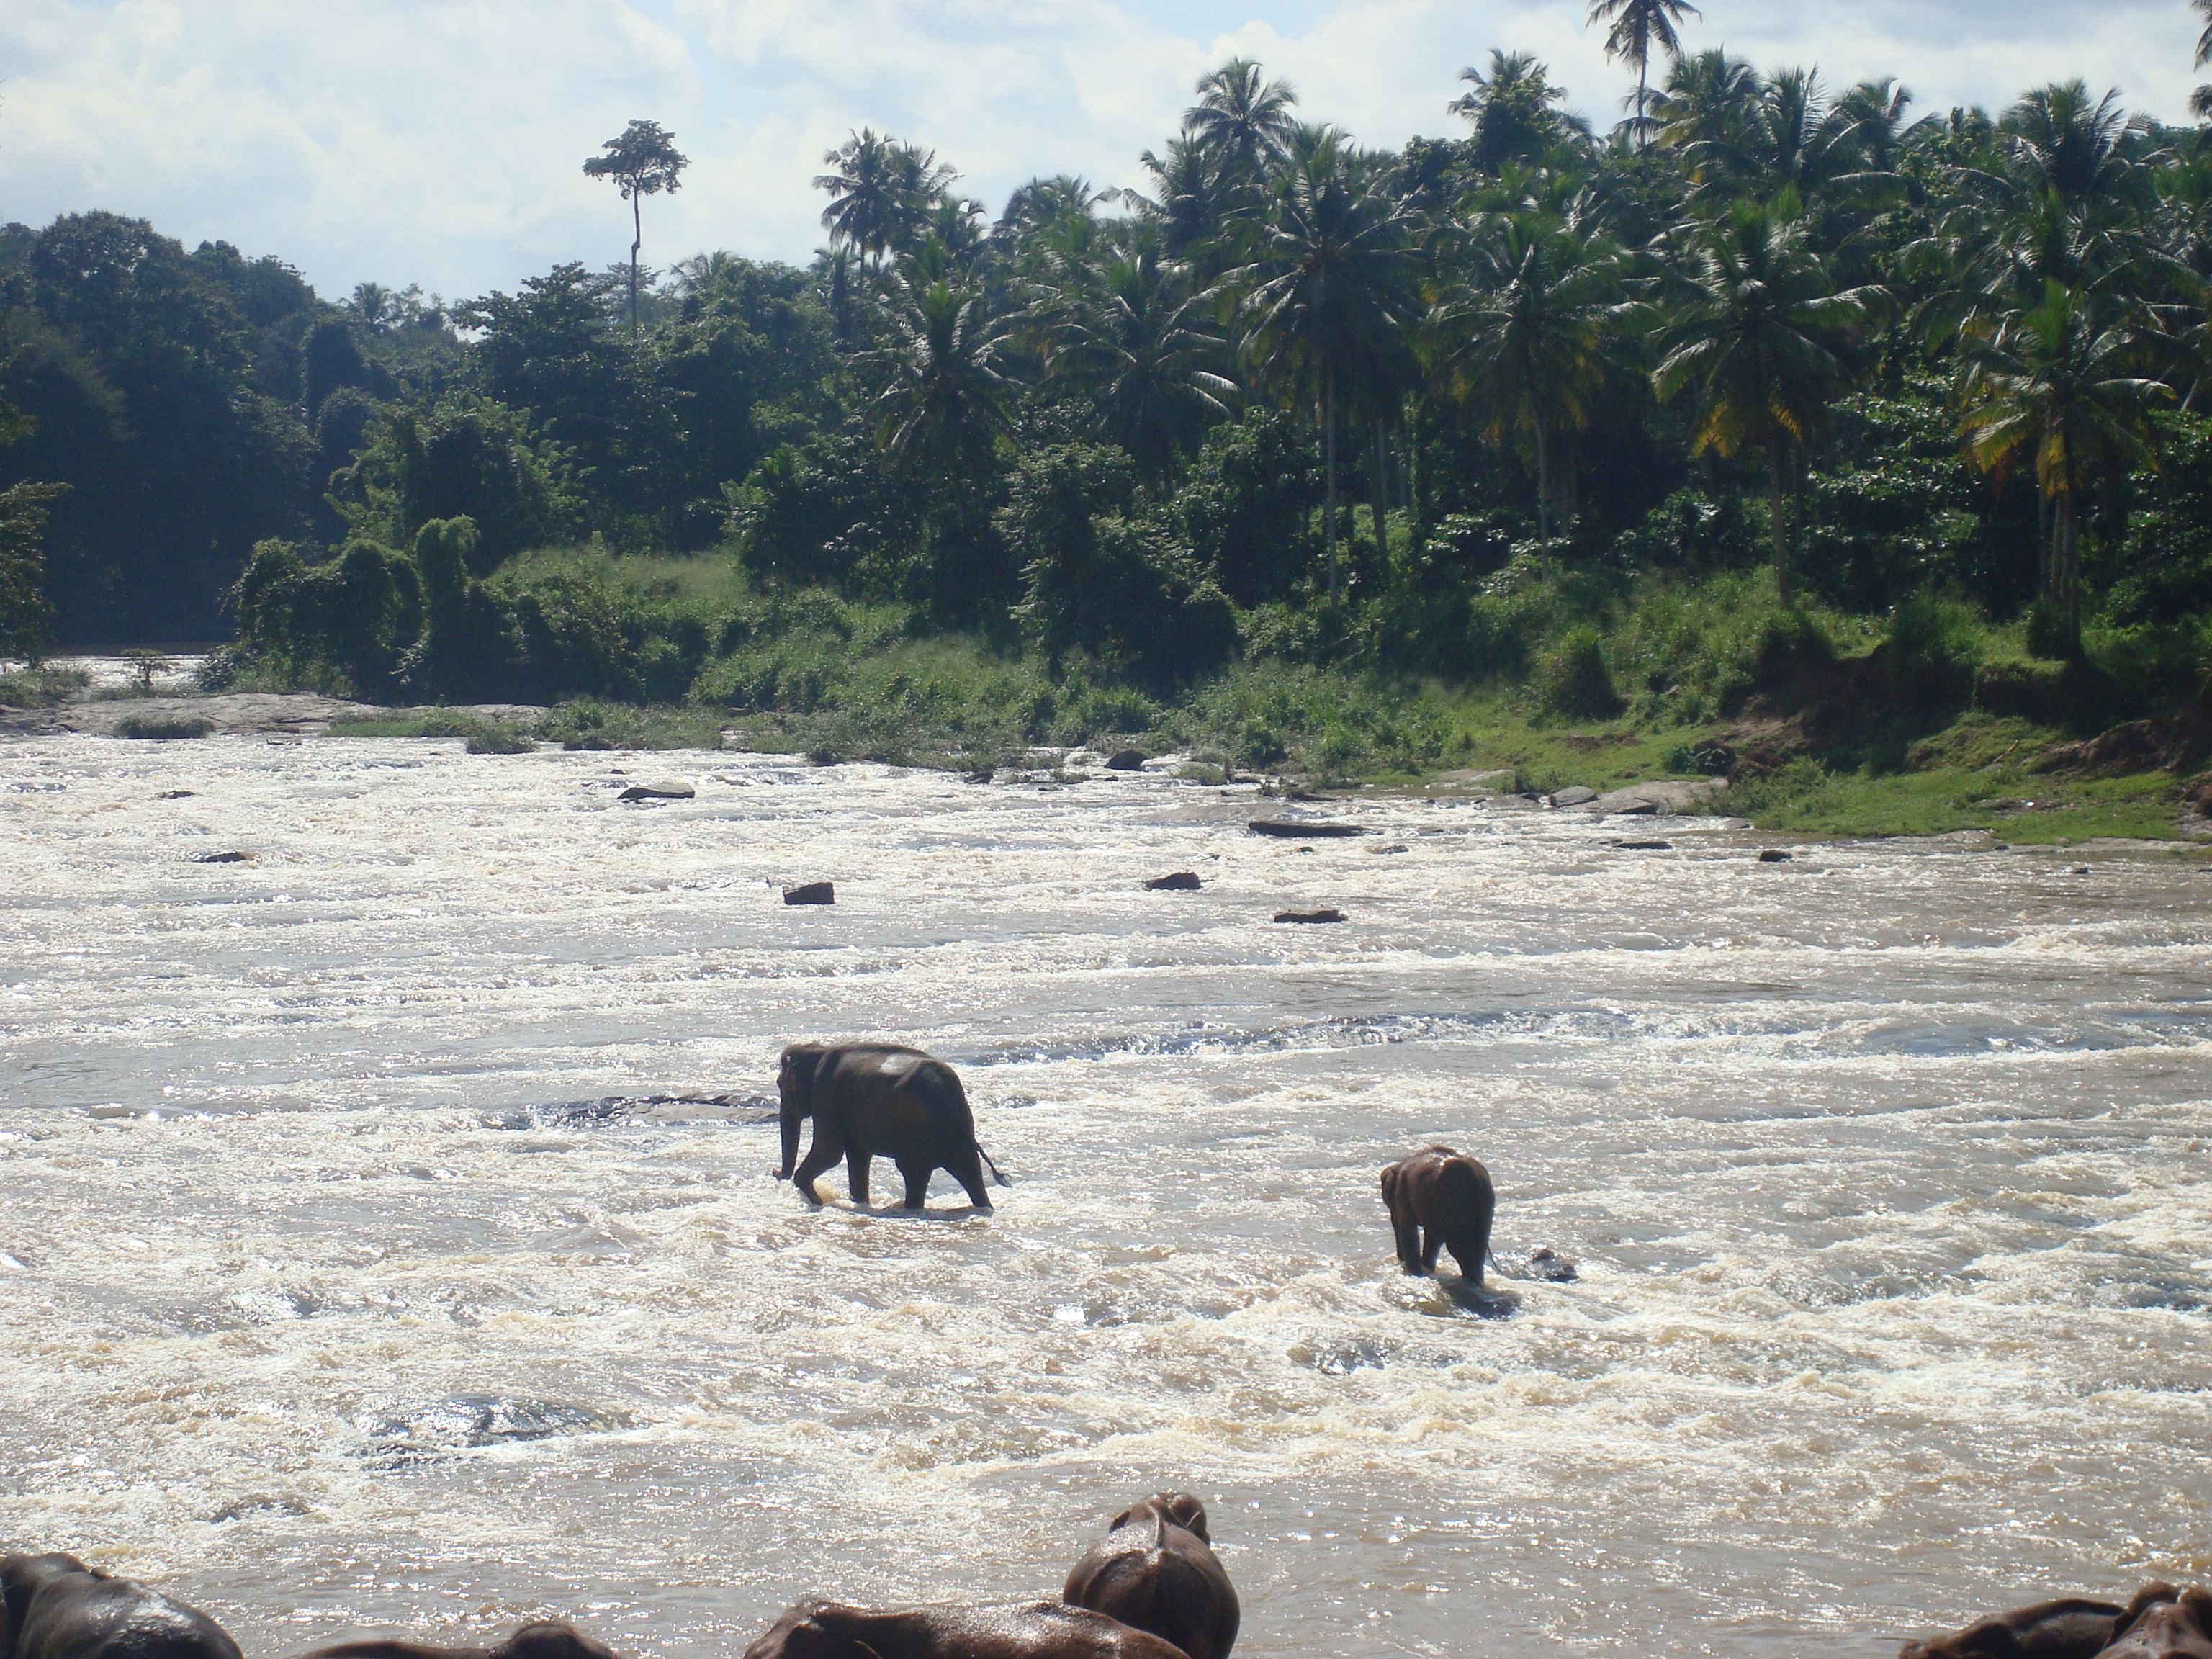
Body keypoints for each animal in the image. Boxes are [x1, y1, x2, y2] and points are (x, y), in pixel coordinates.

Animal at [774, 1043, 1008, 1212]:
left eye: (780, 1085)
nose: (775, 1172)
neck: (818, 1051)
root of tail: (951, 1094)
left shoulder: (827, 1098)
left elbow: (829, 1153)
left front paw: (817, 1201)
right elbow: (858, 1156)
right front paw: (858, 1202)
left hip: (917, 1129)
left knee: (914, 1172)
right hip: (958, 1131)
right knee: (969, 1170)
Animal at [1371, 1150, 1495, 1292]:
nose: (1400, 1261)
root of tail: (1473, 1177)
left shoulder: (1402, 1195)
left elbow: (1410, 1232)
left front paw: (1416, 1274)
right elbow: (1433, 1239)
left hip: (1455, 1202)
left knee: (1459, 1248)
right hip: (1485, 1204)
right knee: (1480, 1246)